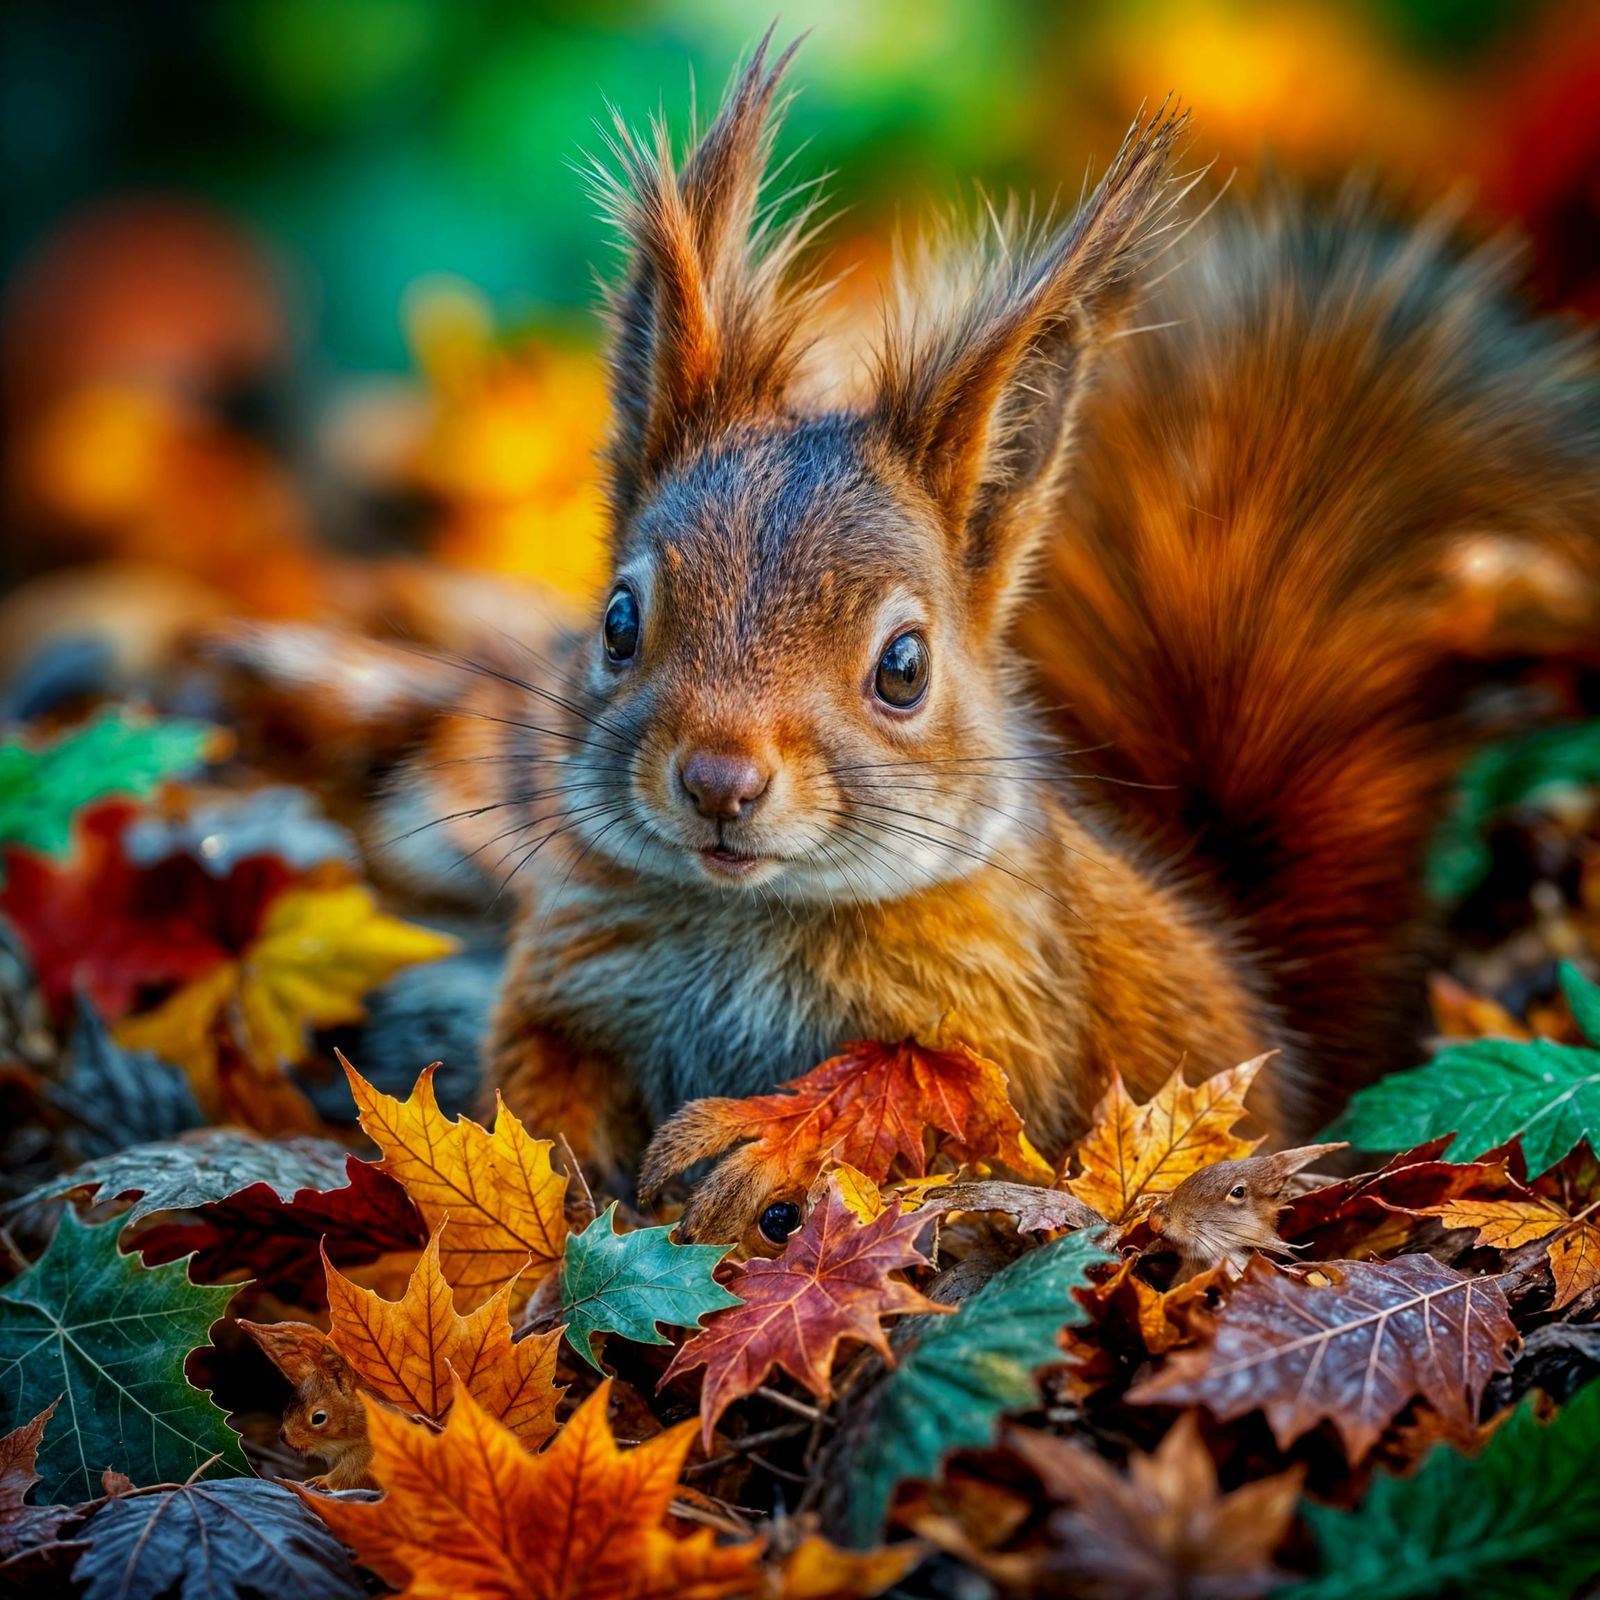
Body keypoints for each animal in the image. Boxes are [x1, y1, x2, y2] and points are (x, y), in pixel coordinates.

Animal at [221, 35, 1599, 1244]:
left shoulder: (1032, 1031)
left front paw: (770, 1135)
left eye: (903, 666)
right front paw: (542, 1169)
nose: (719, 780)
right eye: (617, 622)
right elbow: (535, 1071)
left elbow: (946, 1090)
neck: (751, 918)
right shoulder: (572, 963)